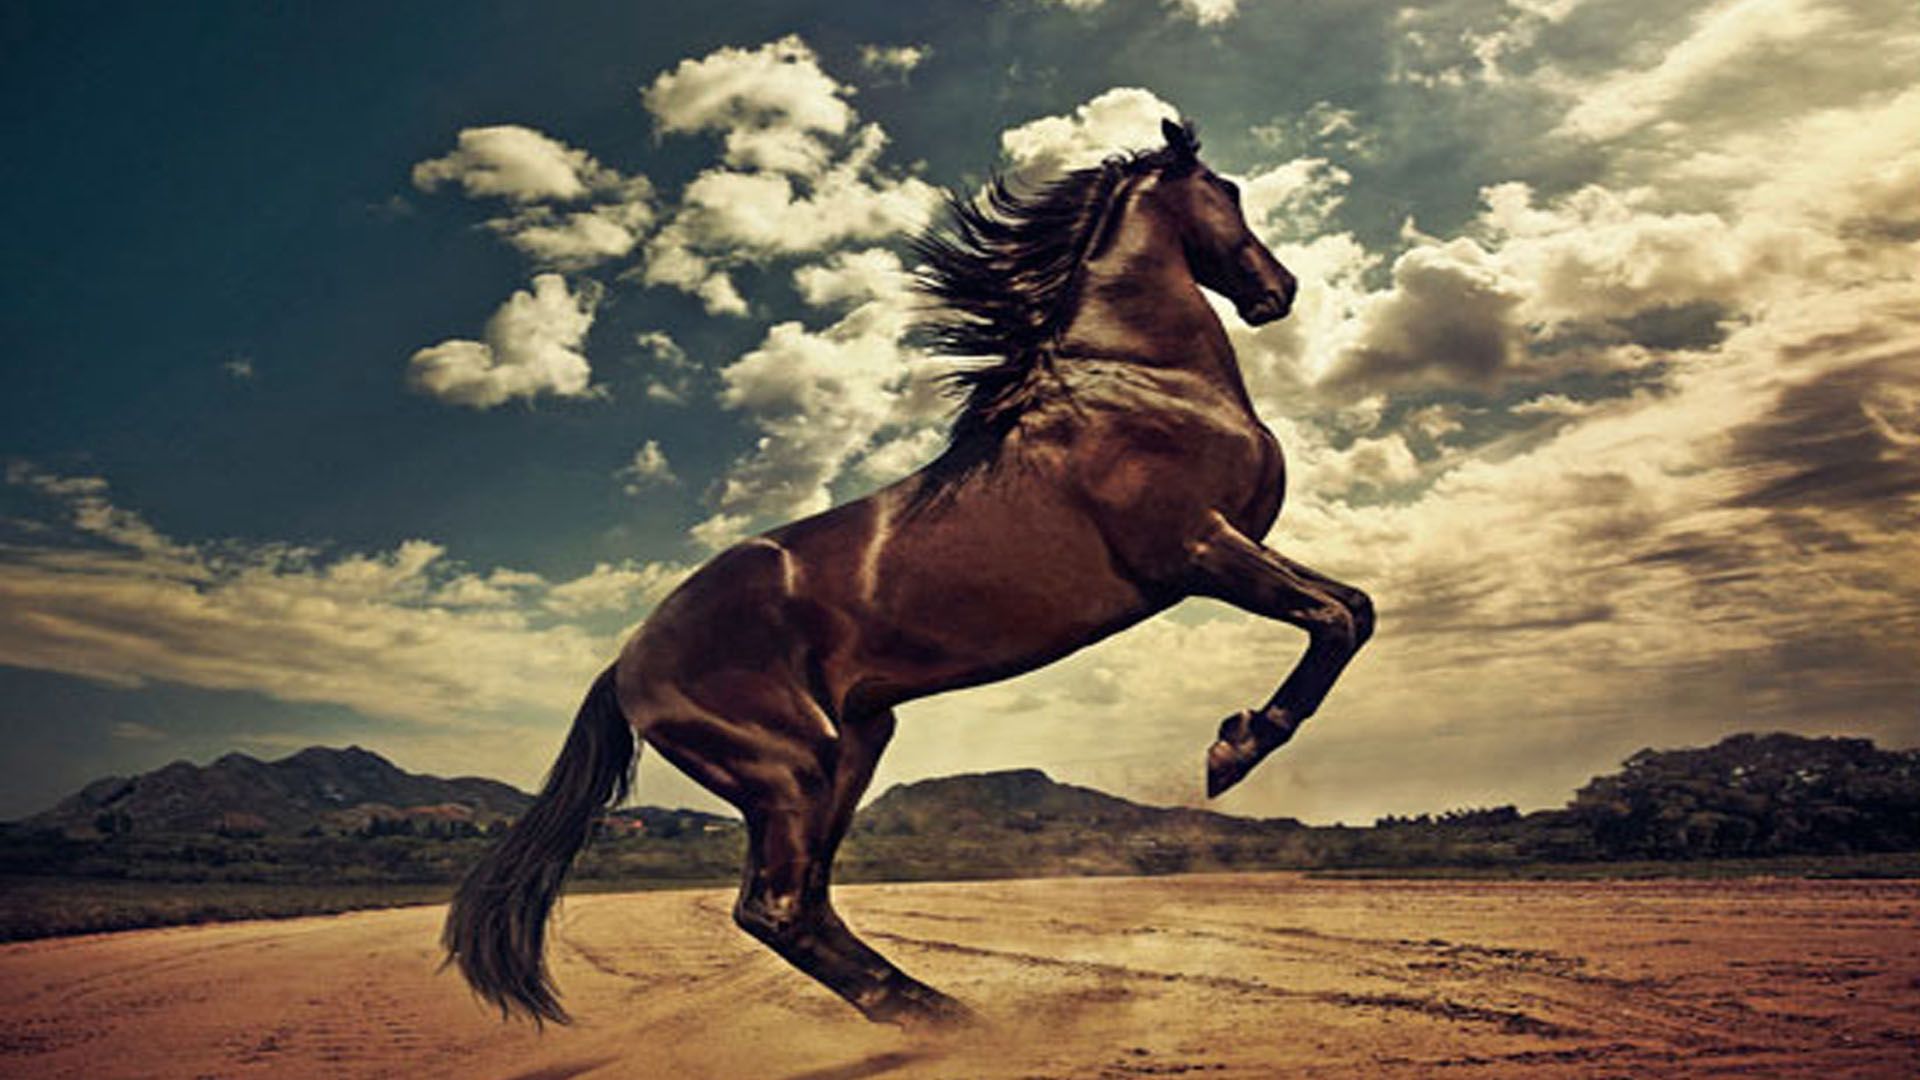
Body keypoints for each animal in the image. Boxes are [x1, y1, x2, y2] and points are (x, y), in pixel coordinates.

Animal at [443, 118, 1374, 1029]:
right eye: (1229, 191)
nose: (1279, 291)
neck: (1141, 381)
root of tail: (626, 662)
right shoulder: (1196, 549)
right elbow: (1338, 617)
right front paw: (1235, 748)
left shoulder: (1220, 548)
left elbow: (1353, 610)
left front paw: (1238, 735)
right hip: (790, 767)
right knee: (776, 907)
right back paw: (944, 1020)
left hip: (854, 744)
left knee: (802, 903)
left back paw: (942, 1013)